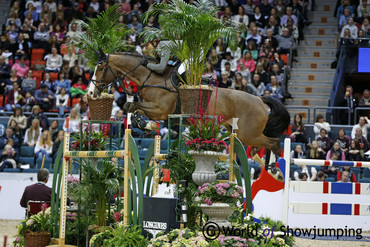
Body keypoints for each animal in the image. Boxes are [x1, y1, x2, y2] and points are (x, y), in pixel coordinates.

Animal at [90, 51, 292, 162]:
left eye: (100, 68)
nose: (91, 93)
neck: (152, 78)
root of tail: (259, 100)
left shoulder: (160, 110)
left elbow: (130, 105)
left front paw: (146, 124)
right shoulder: (156, 110)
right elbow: (131, 108)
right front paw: (145, 124)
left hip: (248, 134)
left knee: (274, 143)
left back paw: (275, 171)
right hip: (237, 131)